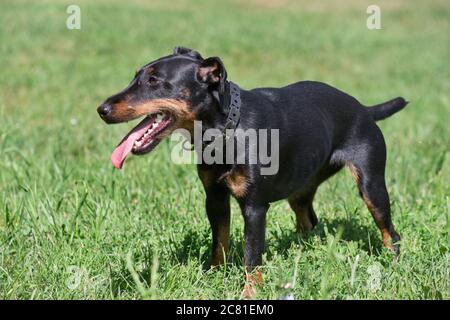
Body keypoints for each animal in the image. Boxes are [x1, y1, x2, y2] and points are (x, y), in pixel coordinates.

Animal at [98, 47, 408, 298]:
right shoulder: (215, 198)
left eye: (154, 81)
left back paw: (393, 268)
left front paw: (249, 293)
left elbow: (251, 255)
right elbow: (219, 243)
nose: (102, 109)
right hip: (302, 189)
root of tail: (364, 109)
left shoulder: (255, 207)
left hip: (371, 184)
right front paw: (212, 278)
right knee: (309, 221)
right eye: (136, 76)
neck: (228, 129)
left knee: (390, 233)